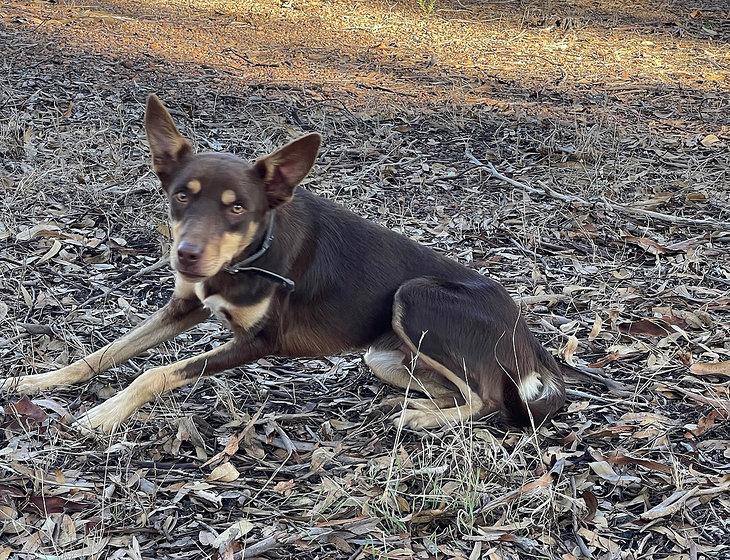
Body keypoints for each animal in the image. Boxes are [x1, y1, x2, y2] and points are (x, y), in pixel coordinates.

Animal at [0, 95, 564, 434]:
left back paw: (421, 419)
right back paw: (415, 407)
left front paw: (104, 413)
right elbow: (105, 352)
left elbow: (156, 372)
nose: (186, 256)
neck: (247, 259)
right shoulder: (185, 307)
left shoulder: (260, 342)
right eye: (182, 196)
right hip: (382, 355)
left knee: (489, 398)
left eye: (237, 208)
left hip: (416, 298)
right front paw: (40, 382)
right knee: (454, 389)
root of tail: (529, 335)